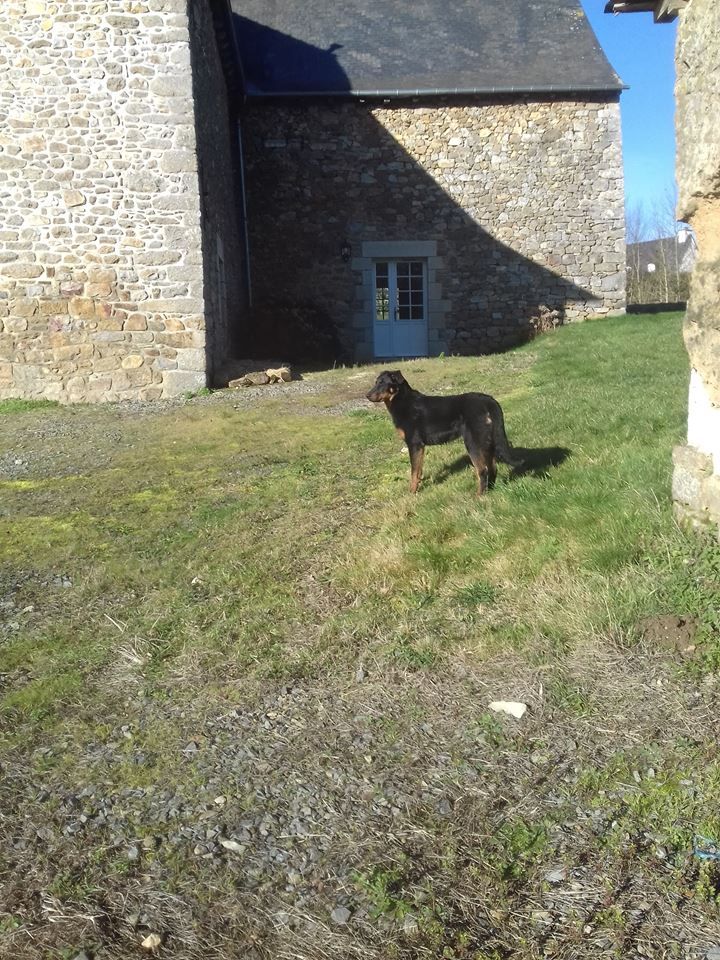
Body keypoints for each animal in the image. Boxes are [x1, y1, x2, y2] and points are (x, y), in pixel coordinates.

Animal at [368, 370, 520, 496]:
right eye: (376, 382)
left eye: (382, 383)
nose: (367, 395)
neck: (402, 400)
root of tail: (489, 400)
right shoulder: (419, 447)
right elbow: (418, 471)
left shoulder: (414, 444)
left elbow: (413, 472)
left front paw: (411, 493)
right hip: (486, 441)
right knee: (493, 469)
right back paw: (490, 491)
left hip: (472, 443)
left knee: (483, 470)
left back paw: (478, 497)